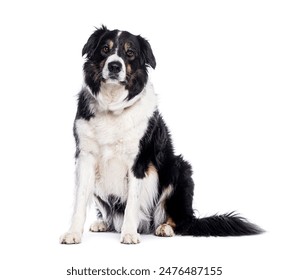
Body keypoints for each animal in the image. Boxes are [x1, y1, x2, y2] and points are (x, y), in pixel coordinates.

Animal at [59, 26, 262, 245]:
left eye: (130, 53)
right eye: (105, 48)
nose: (114, 66)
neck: (113, 106)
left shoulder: (138, 161)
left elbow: (132, 203)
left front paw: (129, 233)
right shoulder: (85, 157)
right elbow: (80, 200)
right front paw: (73, 233)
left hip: (180, 169)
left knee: (181, 221)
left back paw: (164, 227)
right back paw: (104, 223)